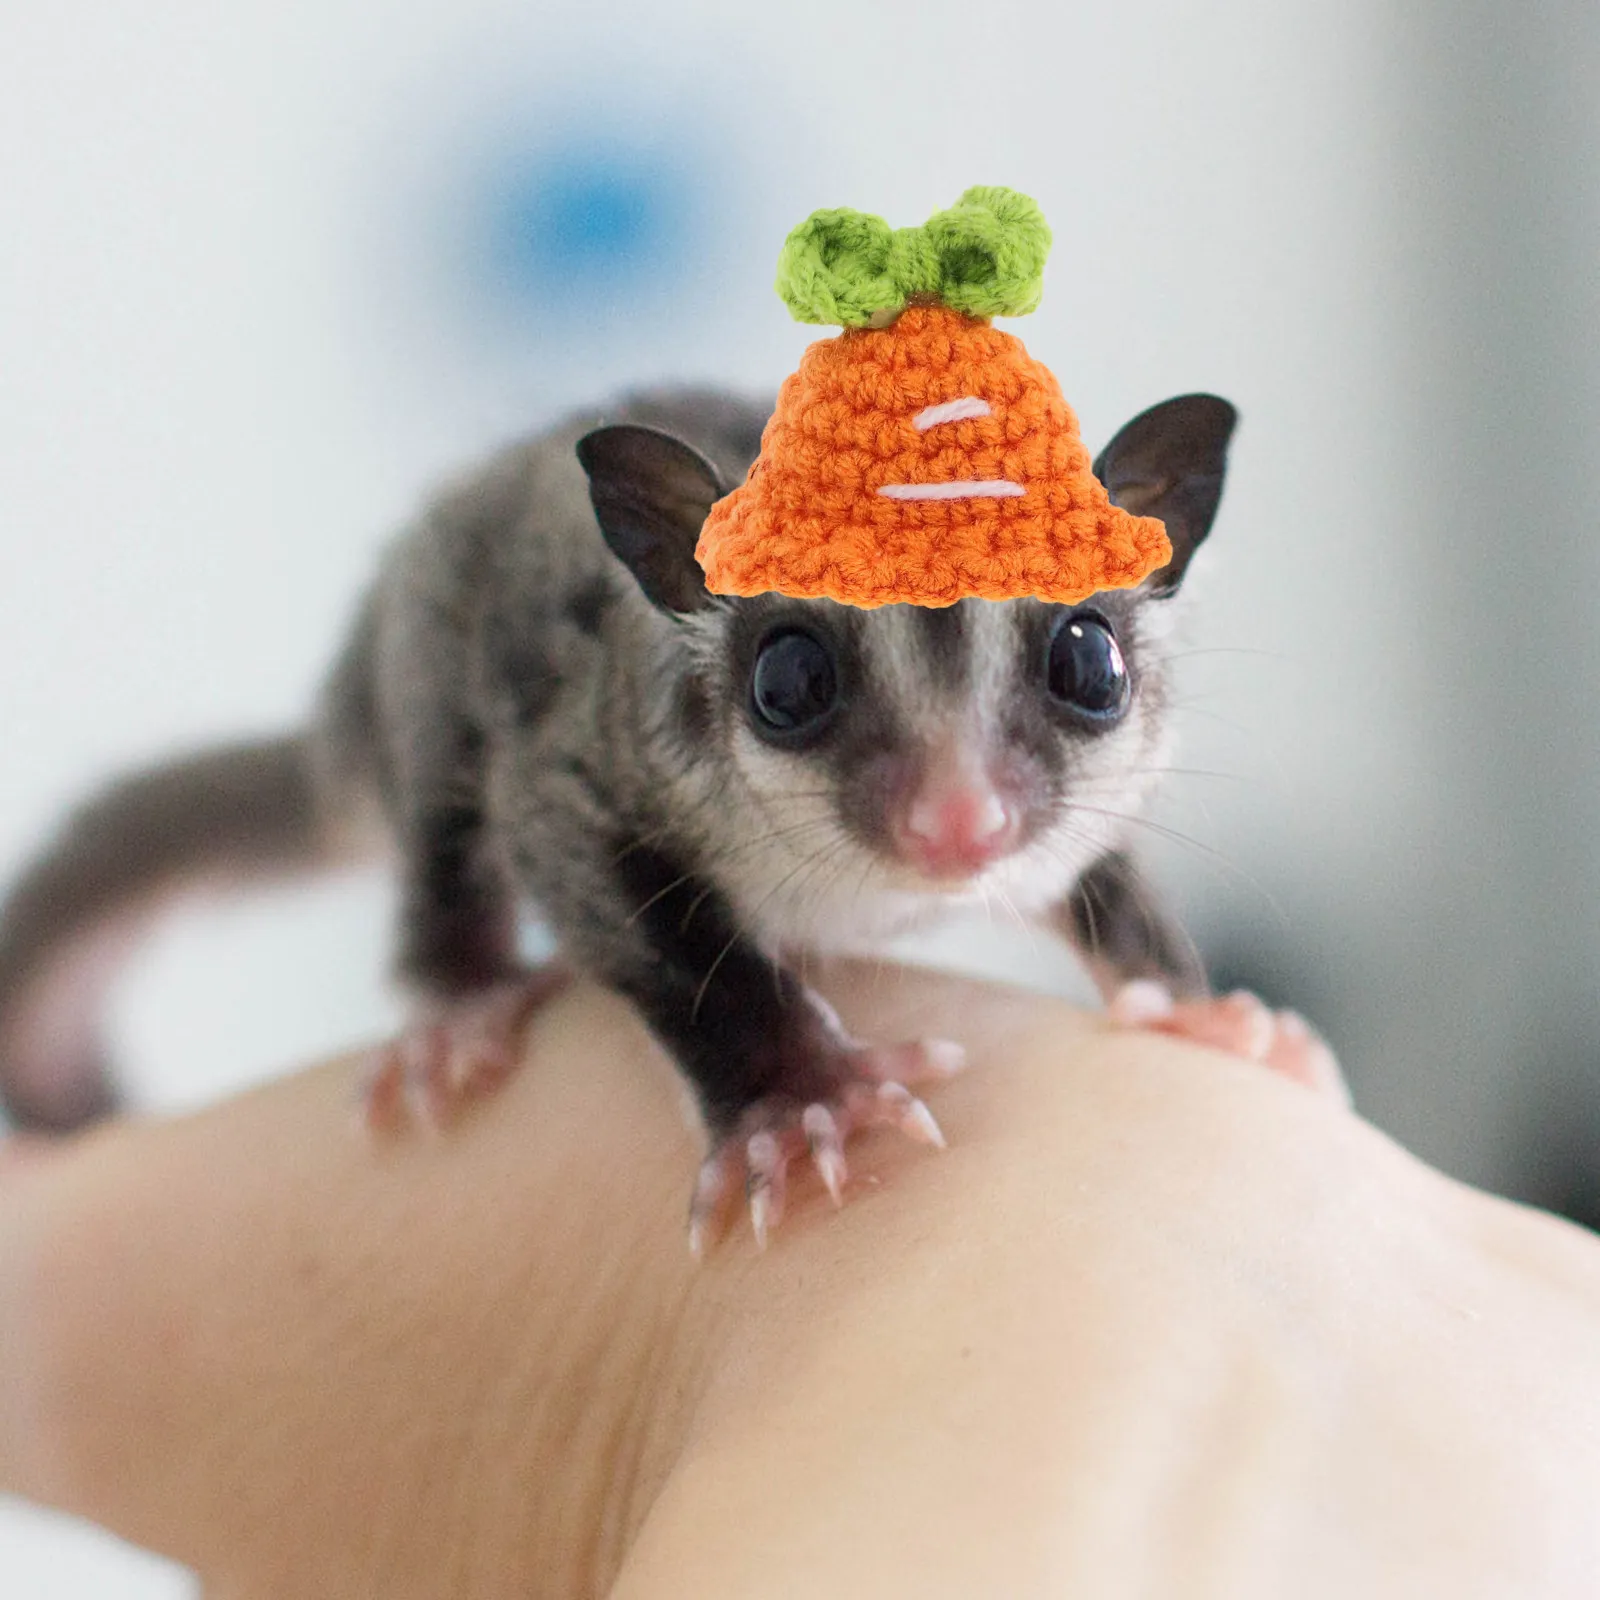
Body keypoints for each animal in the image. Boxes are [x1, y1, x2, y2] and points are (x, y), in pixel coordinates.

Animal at [0, 387, 1237, 1246]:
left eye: (1088, 664)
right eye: (789, 680)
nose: (959, 822)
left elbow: (1106, 876)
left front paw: (1200, 1012)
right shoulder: (596, 763)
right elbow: (594, 865)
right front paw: (800, 1100)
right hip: (416, 649)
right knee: (443, 804)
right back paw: (458, 1000)